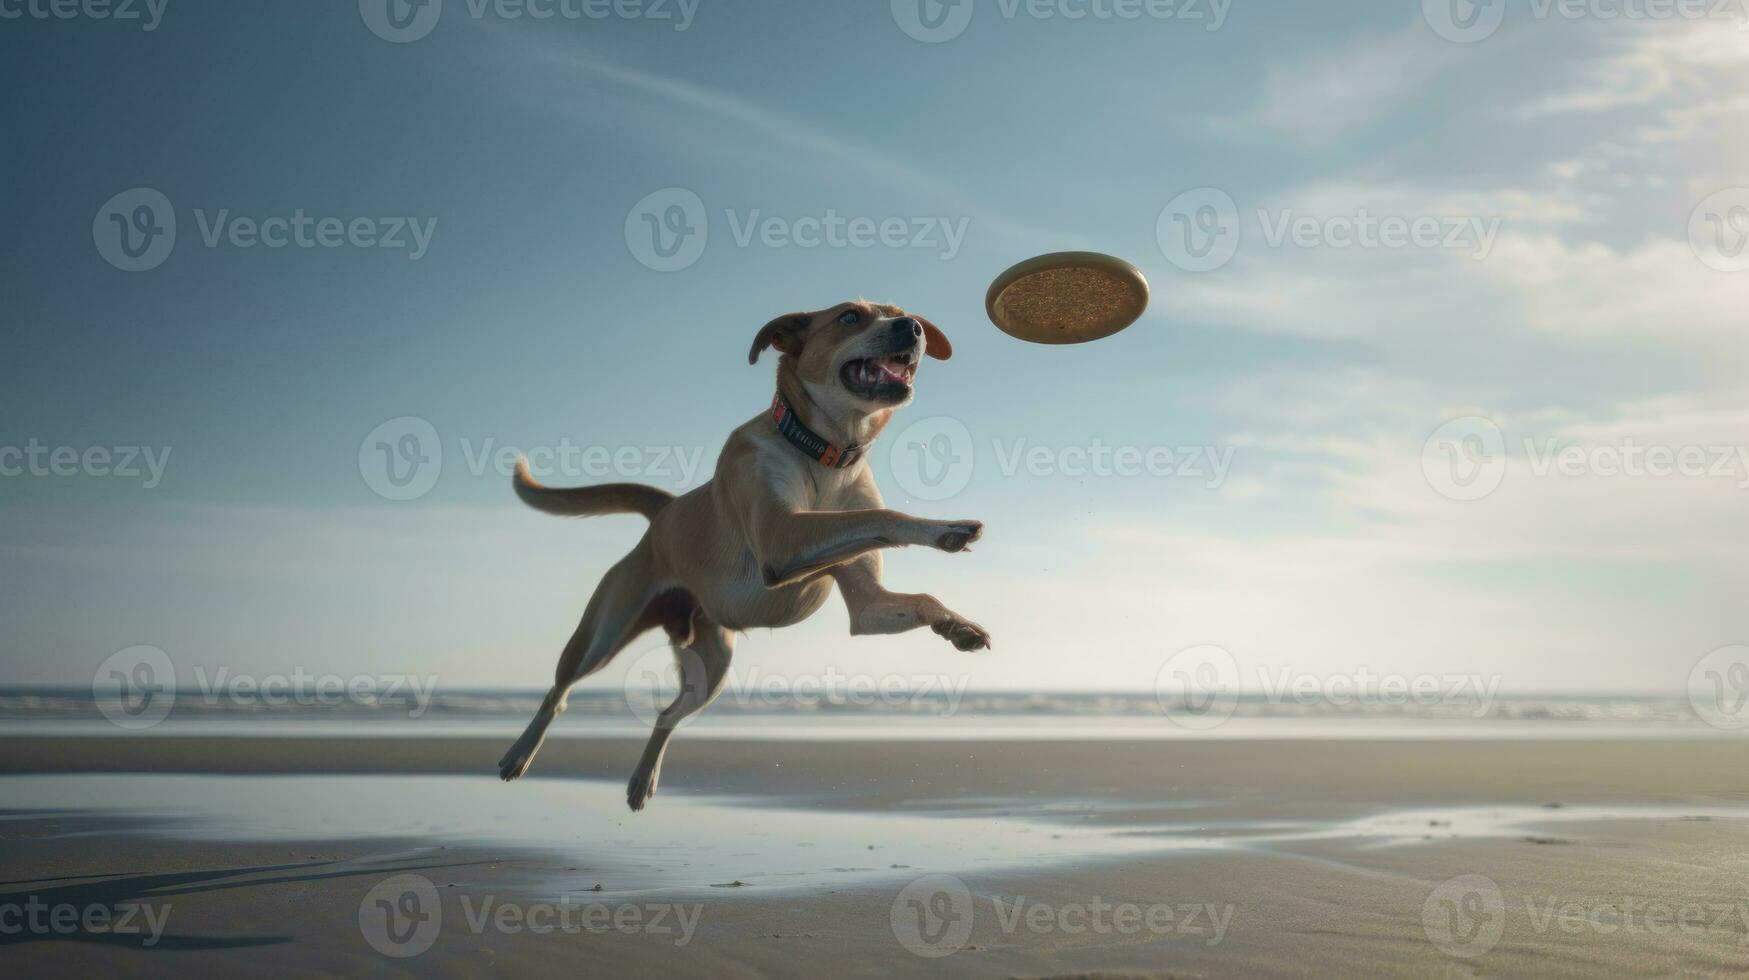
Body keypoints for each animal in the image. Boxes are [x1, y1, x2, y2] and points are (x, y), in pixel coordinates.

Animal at [500, 301, 993, 812]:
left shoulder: (868, 605)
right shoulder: (783, 539)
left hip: (710, 668)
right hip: (604, 631)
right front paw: (943, 529)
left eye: (901, 312)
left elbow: (915, 595)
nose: (911, 328)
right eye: (849, 317)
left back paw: (642, 782)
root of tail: (666, 511)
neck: (826, 455)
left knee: (667, 713)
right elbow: (881, 515)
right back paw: (519, 755)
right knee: (559, 691)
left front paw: (955, 626)